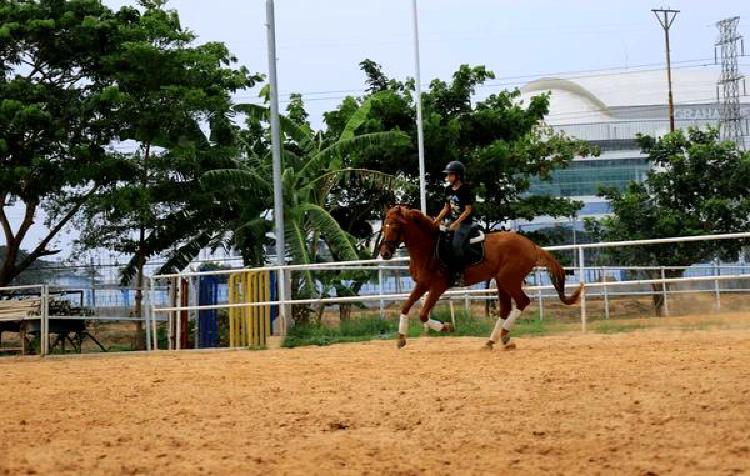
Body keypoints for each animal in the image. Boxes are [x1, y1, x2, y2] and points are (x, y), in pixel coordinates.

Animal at [378, 205, 584, 350]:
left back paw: (504, 335)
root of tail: (531, 246)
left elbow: (422, 314)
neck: (428, 249)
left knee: (522, 302)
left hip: (509, 279)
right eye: (383, 226)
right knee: (505, 309)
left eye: (394, 225)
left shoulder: (438, 286)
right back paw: (492, 341)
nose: (385, 253)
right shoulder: (422, 284)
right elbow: (405, 307)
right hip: (501, 281)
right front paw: (401, 339)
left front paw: (446, 327)